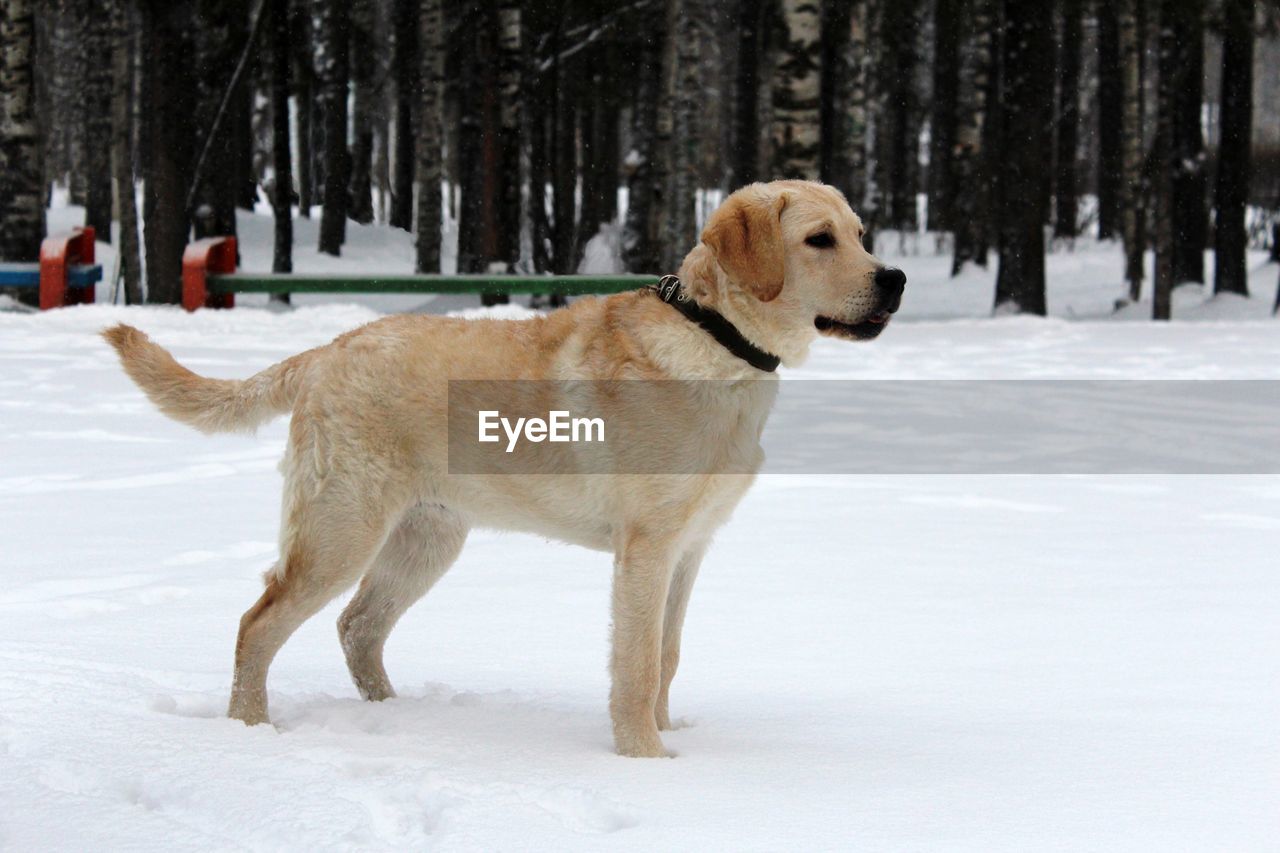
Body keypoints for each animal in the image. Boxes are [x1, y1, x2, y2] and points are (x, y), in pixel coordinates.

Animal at [104, 178, 906, 753]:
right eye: (819, 240)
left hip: (427, 538)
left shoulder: (690, 547)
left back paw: (395, 719)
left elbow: (669, 655)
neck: (718, 341)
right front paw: (646, 760)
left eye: (862, 236)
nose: (894, 278)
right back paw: (250, 730)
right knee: (259, 622)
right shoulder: (646, 548)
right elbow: (638, 664)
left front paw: (668, 738)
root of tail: (328, 349)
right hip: (340, 530)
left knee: (358, 626)